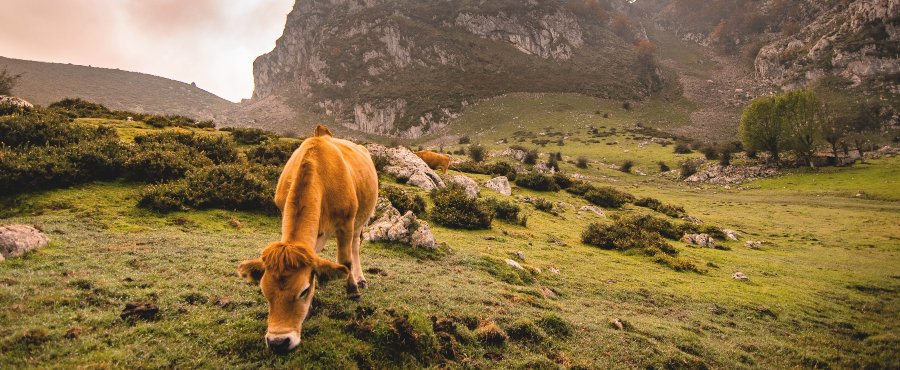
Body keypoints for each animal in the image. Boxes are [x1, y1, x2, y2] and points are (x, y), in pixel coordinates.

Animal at [237, 124, 378, 352]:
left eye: (303, 291)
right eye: (265, 292)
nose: (278, 342)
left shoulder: (346, 223)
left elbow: (345, 260)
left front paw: (352, 290)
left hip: (361, 218)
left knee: (355, 246)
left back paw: (360, 279)